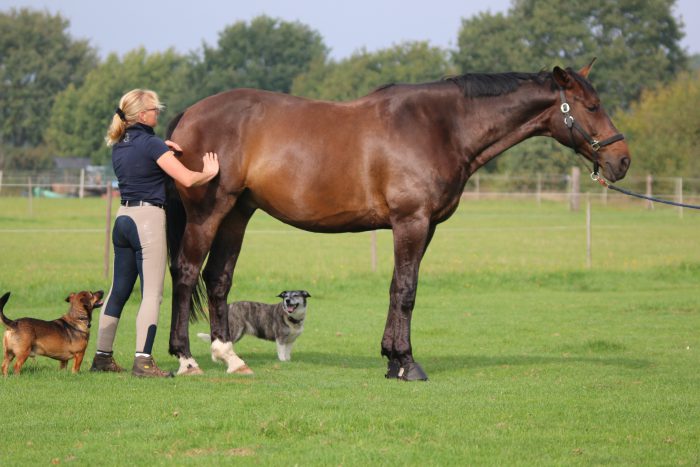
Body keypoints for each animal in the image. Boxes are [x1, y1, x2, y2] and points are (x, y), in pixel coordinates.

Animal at [165, 60, 630, 380]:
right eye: (592, 106)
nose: (622, 160)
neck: (440, 126)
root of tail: (190, 113)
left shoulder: (423, 226)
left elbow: (394, 288)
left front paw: (391, 359)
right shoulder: (412, 222)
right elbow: (407, 291)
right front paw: (408, 363)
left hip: (237, 213)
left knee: (218, 278)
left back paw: (229, 356)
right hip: (208, 213)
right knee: (186, 273)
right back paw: (186, 358)